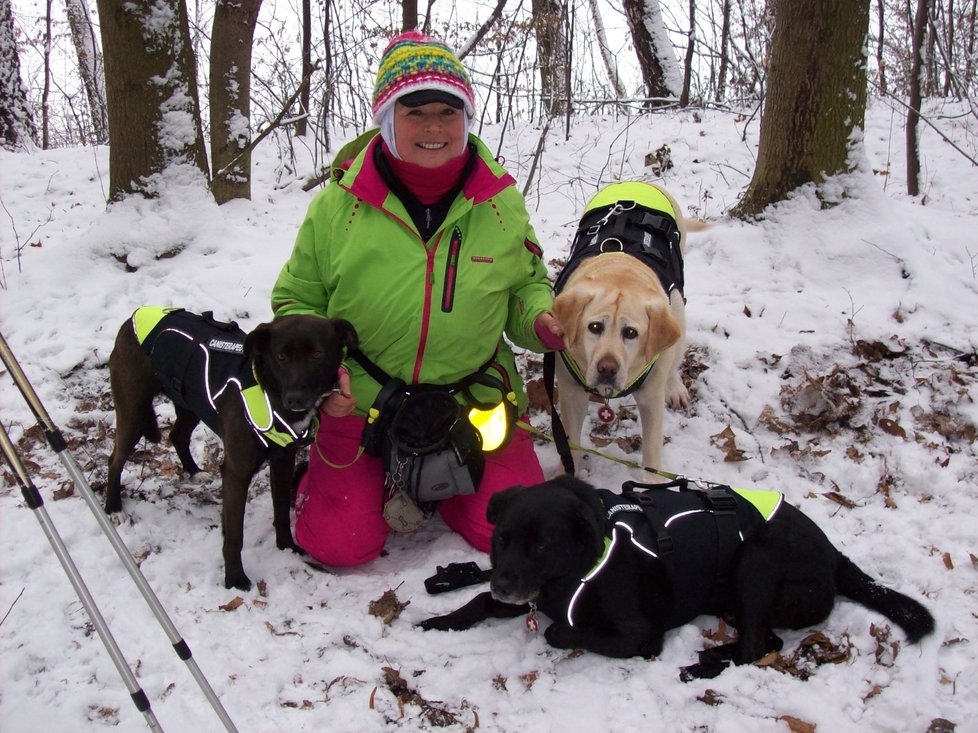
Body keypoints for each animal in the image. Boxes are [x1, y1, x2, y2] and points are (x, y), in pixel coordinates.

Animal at [105, 306, 356, 592]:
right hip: (133, 411)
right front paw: (234, 578)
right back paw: (113, 508)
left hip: (190, 402)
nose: (294, 399)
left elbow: (281, 510)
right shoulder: (237, 472)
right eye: (281, 356)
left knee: (177, 435)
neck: (268, 392)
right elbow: (235, 534)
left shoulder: (283, 461)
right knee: (115, 459)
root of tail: (131, 319)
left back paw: (193, 472)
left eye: (317, 354)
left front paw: (286, 547)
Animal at [418, 472, 932, 676]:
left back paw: (704, 664)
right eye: (501, 539)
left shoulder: (638, 633)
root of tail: (835, 556)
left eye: (541, 545)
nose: (503, 582)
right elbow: (477, 603)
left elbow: (559, 631)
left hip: (756, 563)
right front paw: (439, 621)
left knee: (757, 647)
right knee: (766, 641)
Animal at [552, 180, 696, 472]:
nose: (607, 368)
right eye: (594, 327)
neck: (620, 270)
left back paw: (675, 387)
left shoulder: (651, 399)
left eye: (631, 333)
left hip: (678, 312)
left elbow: (651, 457)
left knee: (675, 355)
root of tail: (640, 182)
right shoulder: (571, 393)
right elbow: (571, 442)